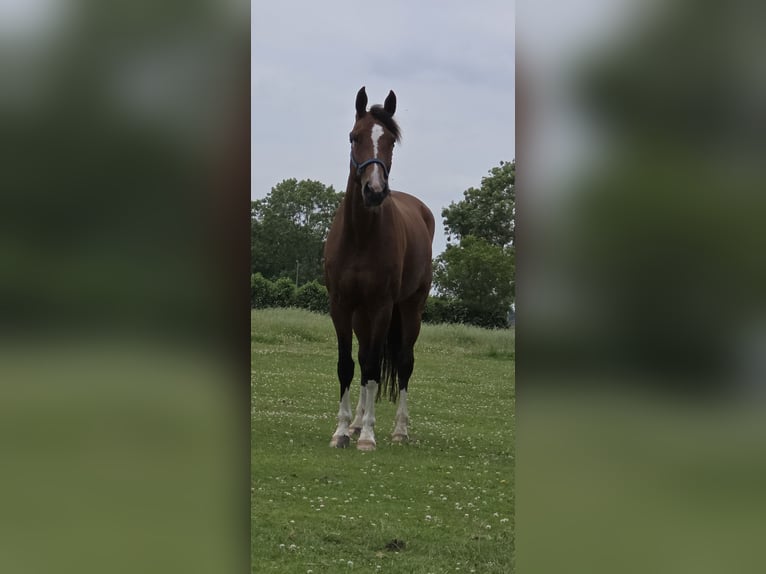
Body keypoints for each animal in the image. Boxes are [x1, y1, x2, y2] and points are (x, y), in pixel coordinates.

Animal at [324, 86, 435, 451]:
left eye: (390, 141)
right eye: (354, 137)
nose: (374, 191)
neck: (360, 236)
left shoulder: (382, 307)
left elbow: (374, 366)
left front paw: (368, 437)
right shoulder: (341, 306)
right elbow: (348, 365)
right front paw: (343, 430)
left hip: (410, 309)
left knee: (403, 363)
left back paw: (399, 430)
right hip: (362, 316)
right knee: (361, 361)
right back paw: (357, 422)